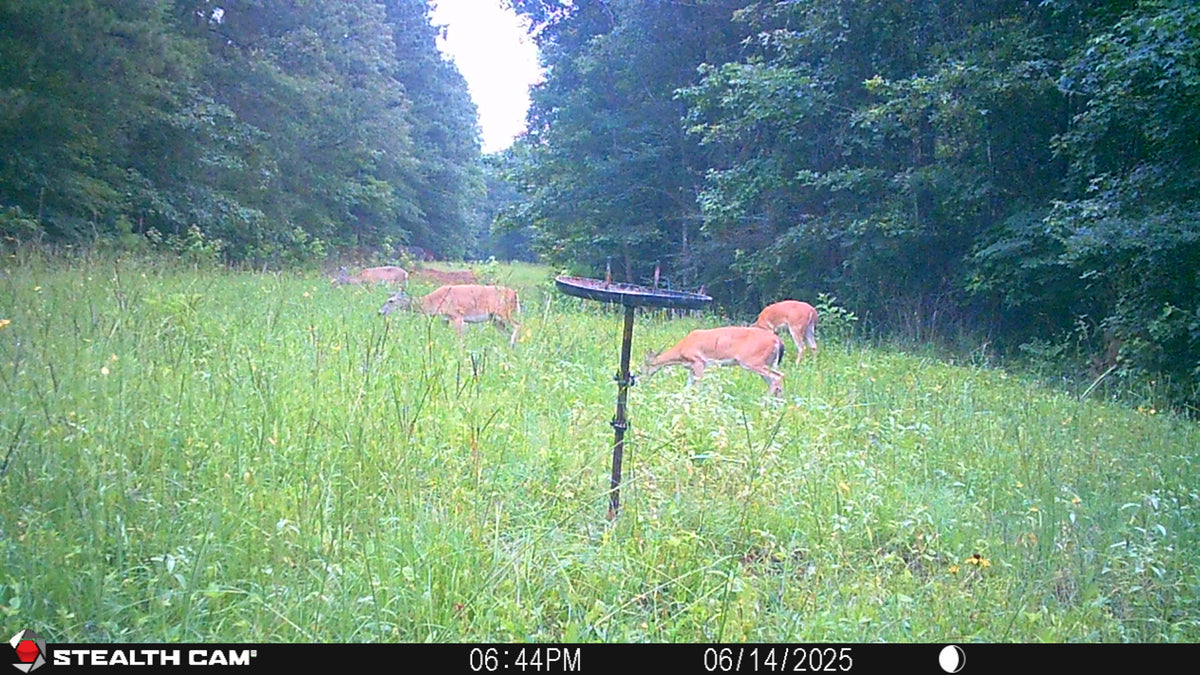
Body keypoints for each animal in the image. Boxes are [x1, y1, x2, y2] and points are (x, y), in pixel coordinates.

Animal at [379, 284, 521, 347]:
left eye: (390, 301)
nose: (380, 312)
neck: (434, 302)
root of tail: (515, 294)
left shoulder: (457, 315)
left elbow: (460, 337)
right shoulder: (445, 318)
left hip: (504, 312)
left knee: (518, 324)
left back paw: (512, 344)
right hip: (494, 319)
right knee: (506, 332)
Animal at [641, 326, 786, 396]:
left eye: (643, 367)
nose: (642, 380)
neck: (682, 348)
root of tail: (777, 341)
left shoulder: (699, 361)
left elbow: (697, 386)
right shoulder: (691, 367)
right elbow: (687, 387)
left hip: (752, 361)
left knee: (778, 376)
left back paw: (764, 401)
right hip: (766, 363)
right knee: (775, 381)